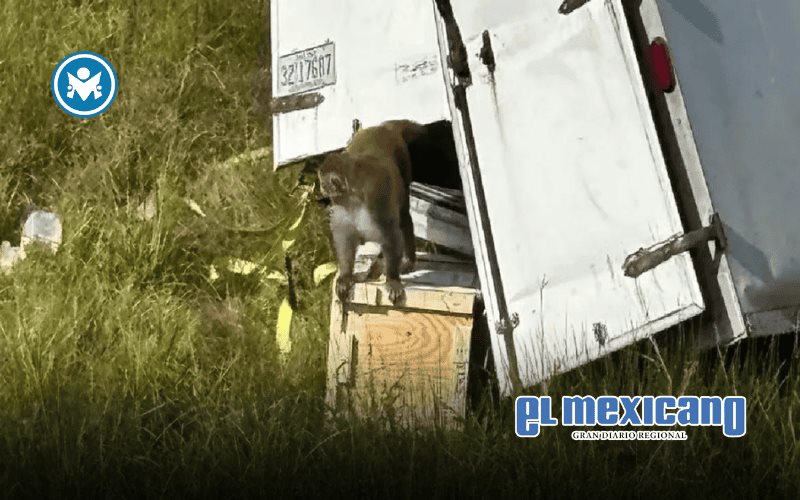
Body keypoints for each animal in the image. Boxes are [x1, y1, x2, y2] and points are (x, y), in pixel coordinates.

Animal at [318, 119, 426, 306]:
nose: (320, 188)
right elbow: (345, 238)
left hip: (403, 162)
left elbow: (391, 236)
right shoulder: (342, 209)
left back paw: (407, 259)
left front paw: (392, 279)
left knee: (404, 215)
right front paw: (345, 276)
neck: (353, 198)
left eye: (323, 183)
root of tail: (383, 127)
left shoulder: (377, 201)